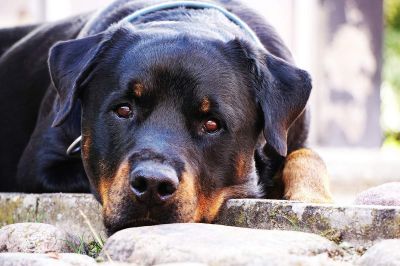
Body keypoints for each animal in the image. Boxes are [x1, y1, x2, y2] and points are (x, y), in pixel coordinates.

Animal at [0, 0, 332, 234]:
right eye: (123, 109)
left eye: (212, 124)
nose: (152, 184)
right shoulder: (42, 165)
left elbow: (307, 156)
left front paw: (313, 196)